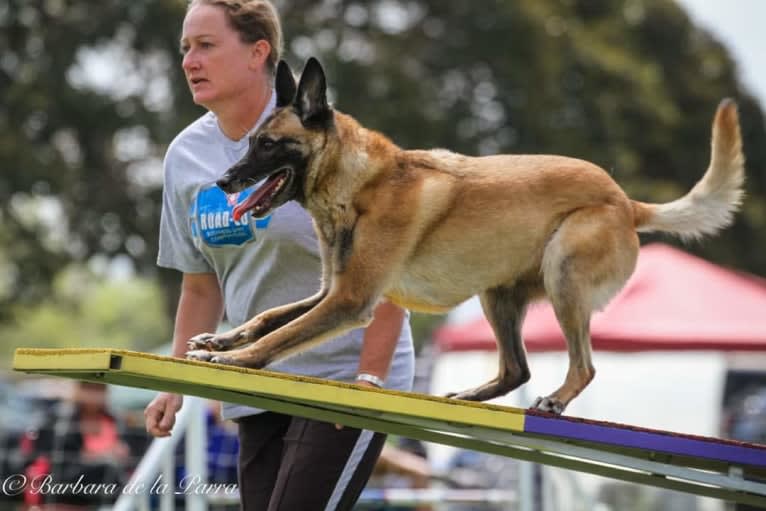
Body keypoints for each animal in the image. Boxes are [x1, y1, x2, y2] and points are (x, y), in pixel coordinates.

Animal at [186, 58, 744, 416]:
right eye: (251, 142)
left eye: (268, 145)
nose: (224, 181)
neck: (359, 181)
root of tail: (625, 200)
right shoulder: (333, 291)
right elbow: (268, 318)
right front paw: (222, 338)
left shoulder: (350, 300)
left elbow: (279, 337)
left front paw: (230, 358)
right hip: (497, 295)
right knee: (517, 370)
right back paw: (472, 396)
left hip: (563, 276)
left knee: (582, 366)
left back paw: (555, 400)